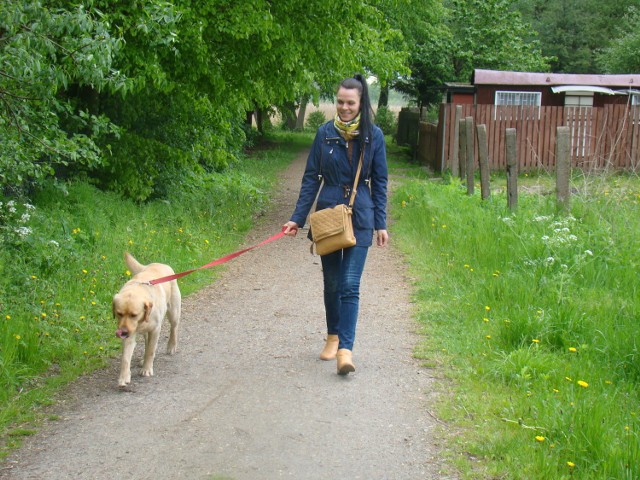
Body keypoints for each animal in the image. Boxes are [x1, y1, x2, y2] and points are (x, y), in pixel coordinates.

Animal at [112, 253, 180, 388]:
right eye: (119, 314)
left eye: (134, 315)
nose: (123, 332)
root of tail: (160, 264)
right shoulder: (130, 335)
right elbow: (126, 358)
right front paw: (124, 377)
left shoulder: (155, 330)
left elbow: (151, 351)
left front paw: (147, 369)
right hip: (144, 332)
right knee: (147, 342)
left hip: (173, 312)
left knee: (174, 328)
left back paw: (171, 346)